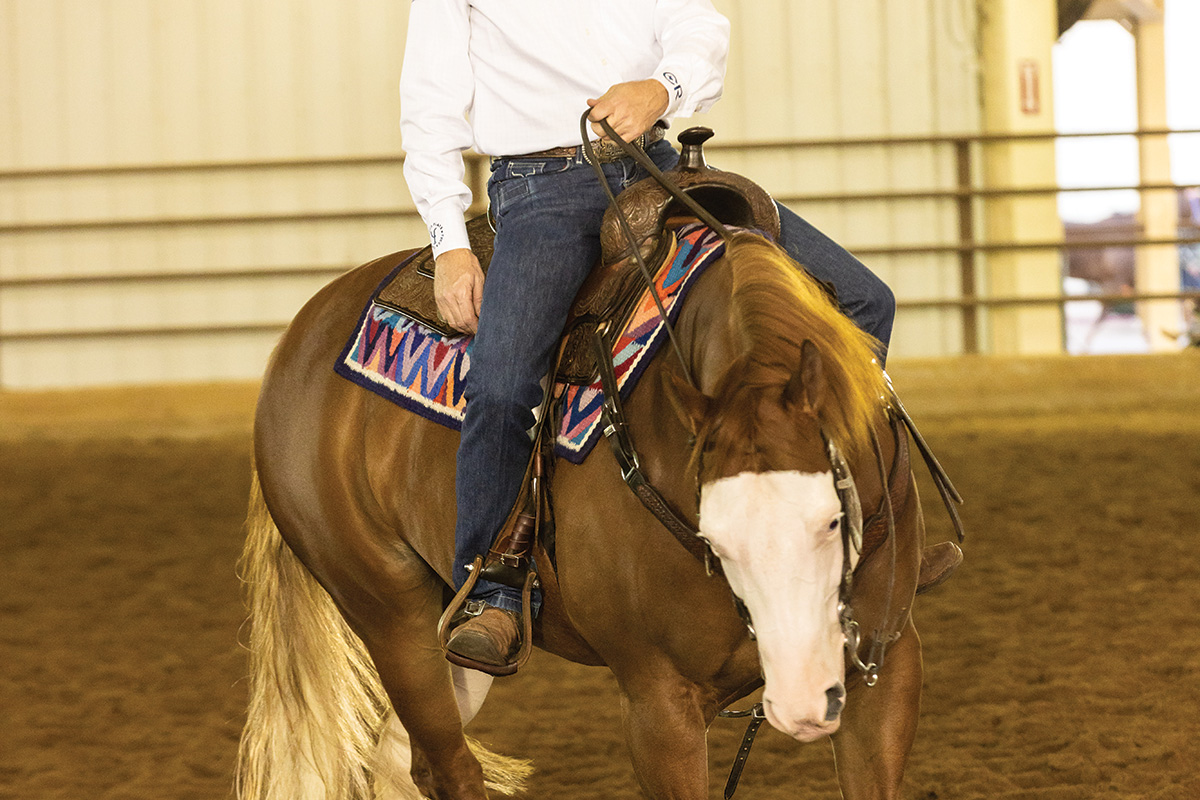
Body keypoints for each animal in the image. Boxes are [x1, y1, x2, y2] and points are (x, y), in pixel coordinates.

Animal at [236, 226, 926, 800]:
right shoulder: (659, 705)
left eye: (832, 521)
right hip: (390, 615)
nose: (804, 699)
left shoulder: (885, 668)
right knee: (449, 768)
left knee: (401, 762)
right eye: (717, 541)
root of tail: (297, 341)